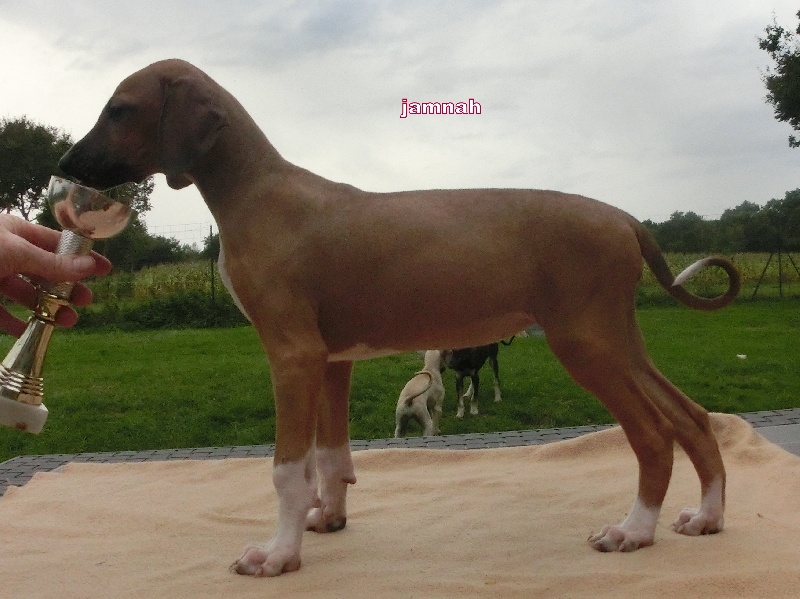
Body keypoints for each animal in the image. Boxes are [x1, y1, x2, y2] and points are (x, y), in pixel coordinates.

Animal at [59, 59, 741, 577]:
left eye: (119, 110)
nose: (64, 167)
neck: (258, 192)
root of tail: (624, 217)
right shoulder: (330, 361)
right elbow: (329, 458)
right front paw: (329, 520)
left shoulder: (292, 357)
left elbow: (287, 469)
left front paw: (279, 555)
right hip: (617, 341)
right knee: (693, 417)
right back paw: (707, 517)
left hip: (585, 344)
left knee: (654, 434)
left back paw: (635, 531)